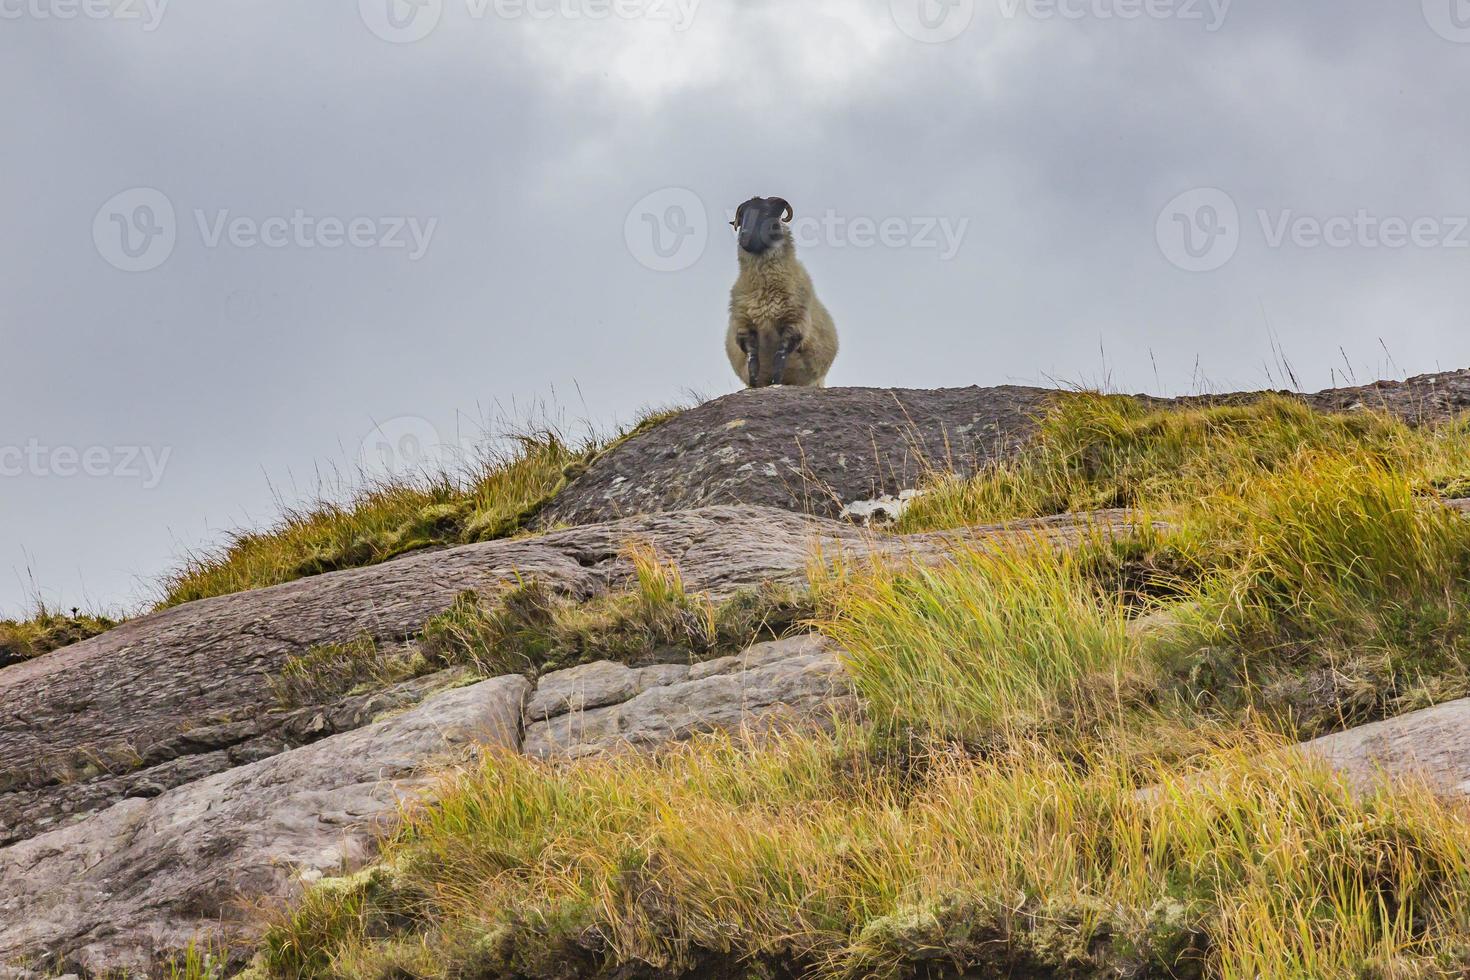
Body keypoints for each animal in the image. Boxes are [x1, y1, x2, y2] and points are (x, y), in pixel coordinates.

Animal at [723, 195, 840, 387]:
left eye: (767, 213)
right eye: (742, 215)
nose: (744, 237)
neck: (765, 289)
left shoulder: (794, 325)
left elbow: (780, 358)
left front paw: (775, 382)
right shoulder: (745, 327)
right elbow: (753, 362)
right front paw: (755, 385)